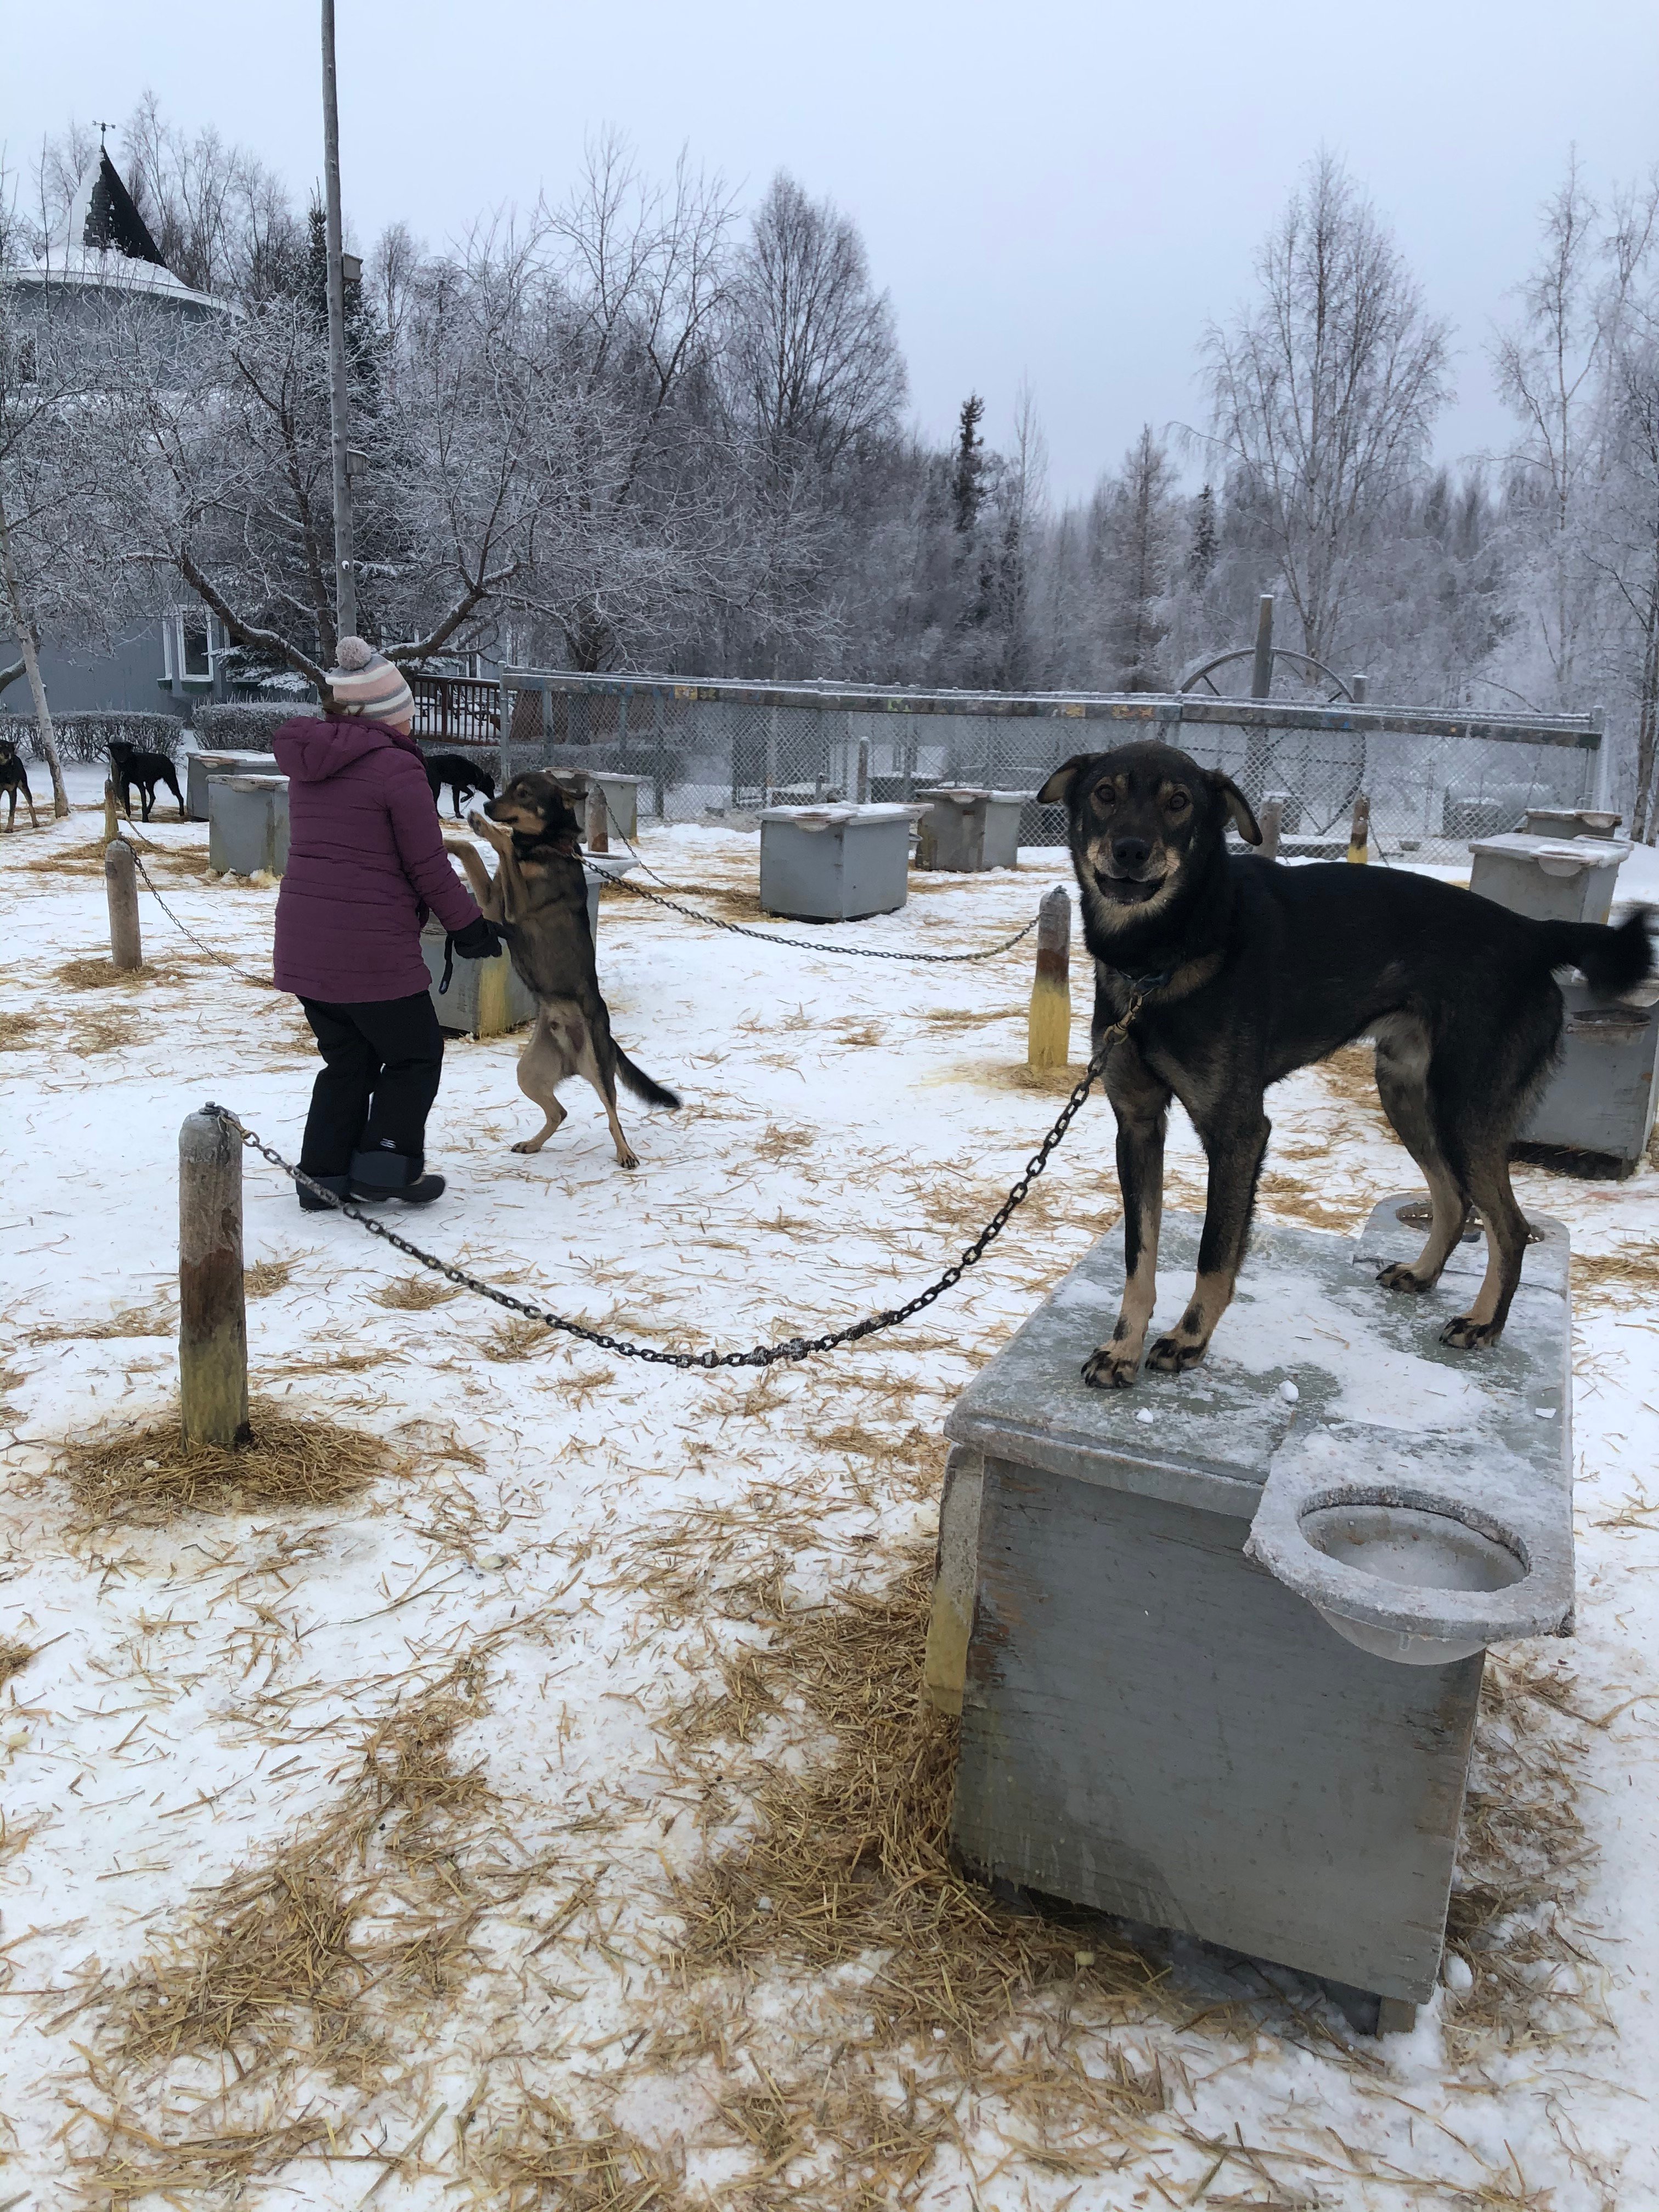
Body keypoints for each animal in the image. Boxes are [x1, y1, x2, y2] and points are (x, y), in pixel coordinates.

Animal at [0, 734, 38, 832]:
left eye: (8, 747)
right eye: (0, 746)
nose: (7, 755)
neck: (3, 770)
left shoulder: (13, 791)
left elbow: (12, 811)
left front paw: (9, 828)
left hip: (24, 785)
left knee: (31, 805)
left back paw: (36, 823)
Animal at [107, 738, 183, 827]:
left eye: (125, 750)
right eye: (117, 750)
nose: (122, 759)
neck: (128, 765)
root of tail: (166, 758)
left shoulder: (141, 786)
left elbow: (143, 803)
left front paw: (145, 820)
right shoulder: (125, 786)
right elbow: (127, 803)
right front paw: (127, 817)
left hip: (171, 781)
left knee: (180, 797)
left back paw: (182, 812)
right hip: (149, 783)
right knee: (153, 797)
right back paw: (148, 811)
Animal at [422, 752, 493, 822]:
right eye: (491, 787)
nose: (493, 798)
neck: (475, 773)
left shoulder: (456, 789)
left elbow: (456, 804)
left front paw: (458, 815)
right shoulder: (459, 785)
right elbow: (471, 793)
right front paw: (463, 799)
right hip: (436, 788)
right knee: (434, 802)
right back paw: (438, 816)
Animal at [449, 770, 681, 1167]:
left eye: (524, 794)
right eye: (508, 789)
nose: (489, 806)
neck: (544, 848)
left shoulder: (515, 910)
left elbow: (505, 845)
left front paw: (489, 830)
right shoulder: (494, 907)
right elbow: (470, 851)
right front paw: (452, 839)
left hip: (599, 1068)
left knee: (612, 1114)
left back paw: (626, 1153)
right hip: (529, 1071)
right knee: (560, 1112)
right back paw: (533, 1144)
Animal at [1044, 743, 1654, 1398]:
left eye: (1179, 802)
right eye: (1105, 793)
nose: (1131, 851)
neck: (1161, 954)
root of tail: (1531, 933)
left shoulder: (1237, 1132)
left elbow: (1215, 1251)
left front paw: (1189, 1339)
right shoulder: (1137, 1125)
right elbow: (1140, 1253)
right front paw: (1122, 1349)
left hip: (1465, 1113)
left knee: (1508, 1225)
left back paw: (1483, 1323)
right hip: (1407, 1096)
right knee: (1454, 1201)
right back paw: (1423, 1275)